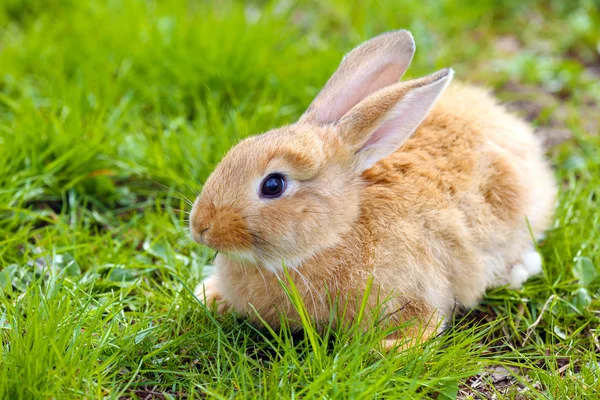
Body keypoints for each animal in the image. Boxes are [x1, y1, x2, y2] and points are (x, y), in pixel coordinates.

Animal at [189, 30, 556, 350]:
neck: (338, 233)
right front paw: (210, 295)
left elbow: (423, 324)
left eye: (273, 185)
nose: (200, 227)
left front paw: (390, 347)